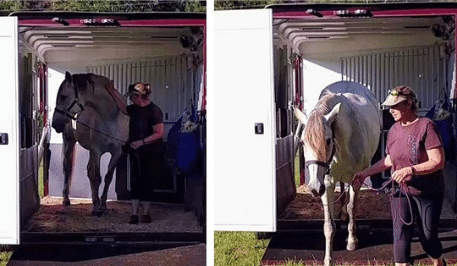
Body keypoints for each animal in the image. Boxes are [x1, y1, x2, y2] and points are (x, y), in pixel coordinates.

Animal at [51, 71, 129, 216]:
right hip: (70, 142)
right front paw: (96, 207)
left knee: (88, 171)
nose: (55, 124)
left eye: (63, 96)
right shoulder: (96, 151)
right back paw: (66, 199)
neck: (111, 118)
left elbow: (108, 177)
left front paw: (103, 204)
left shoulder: (117, 152)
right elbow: (96, 177)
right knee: (67, 169)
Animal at [294, 81, 380, 266]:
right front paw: (328, 258)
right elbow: (328, 225)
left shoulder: (356, 179)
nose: (314, 187)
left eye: (327, 140)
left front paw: (352, 241)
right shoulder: (326, 184)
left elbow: (352, 207)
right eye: (302, 142)